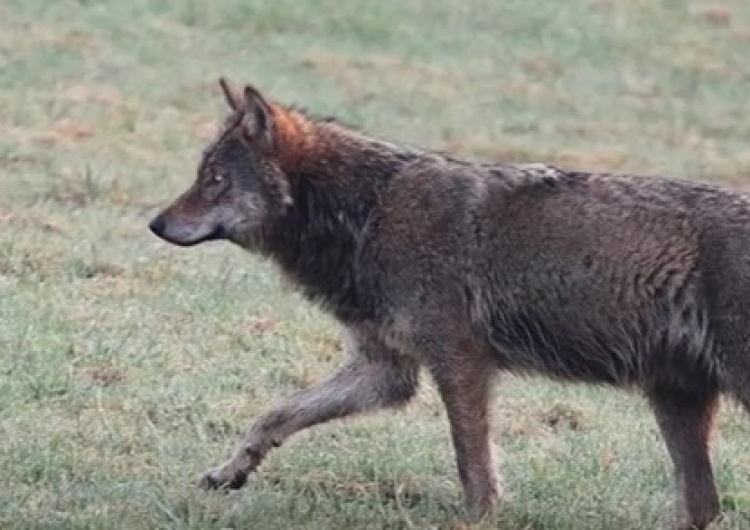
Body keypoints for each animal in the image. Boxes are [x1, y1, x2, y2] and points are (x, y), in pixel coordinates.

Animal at [148, 76, 750, 524]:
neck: (367, 211)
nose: (155, 223)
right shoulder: (385, 372)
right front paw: (232, 470)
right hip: (675, 401)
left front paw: (478, 520)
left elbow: (473, 468)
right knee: (704, 507)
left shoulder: (460, 364)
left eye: (215, 179)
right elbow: (273, 415)